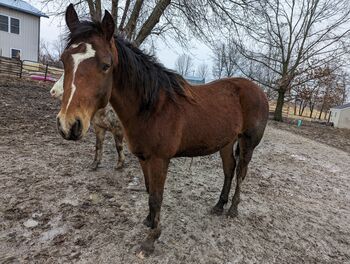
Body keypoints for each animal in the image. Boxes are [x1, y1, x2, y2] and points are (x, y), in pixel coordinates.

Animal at [58, 4, 268, 255]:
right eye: (63, 60)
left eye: (105, 65)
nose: (69, 125)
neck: (152, 107)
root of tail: (259, 90)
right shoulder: (143, 158)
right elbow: (149, 190)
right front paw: (149, 221)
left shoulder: (160, 160)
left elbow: (156, 197)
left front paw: (151, 238)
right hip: (226, 143)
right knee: (229, 170)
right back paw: (219, 205)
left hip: (247, 143)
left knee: (240, 173)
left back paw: (233, 209)